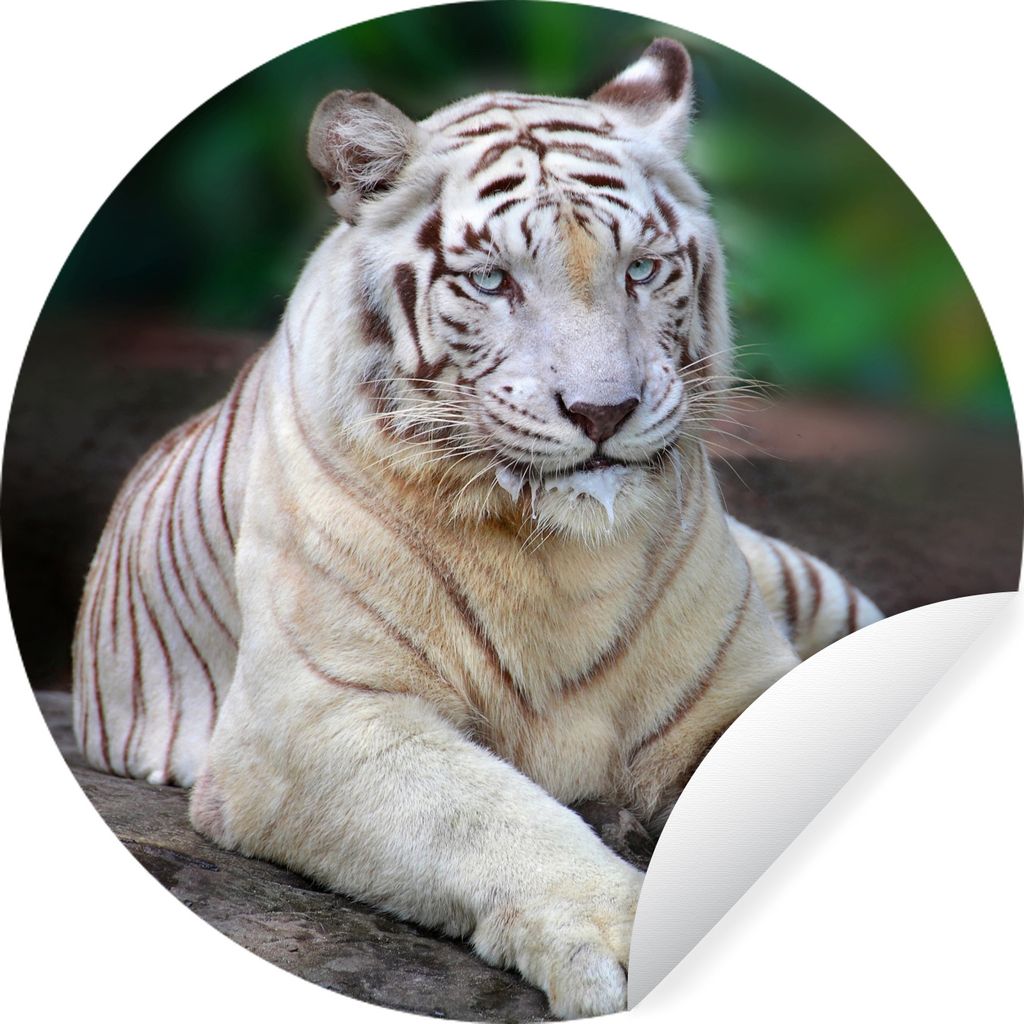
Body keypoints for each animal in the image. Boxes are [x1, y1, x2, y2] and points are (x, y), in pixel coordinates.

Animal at [72, 39, 882, 1019]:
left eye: (642, 270)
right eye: (493, 280)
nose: (603, 410)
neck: (563, 554)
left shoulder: (734, 688)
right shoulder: (317, 717)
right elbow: (487, 817)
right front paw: (616, 934)